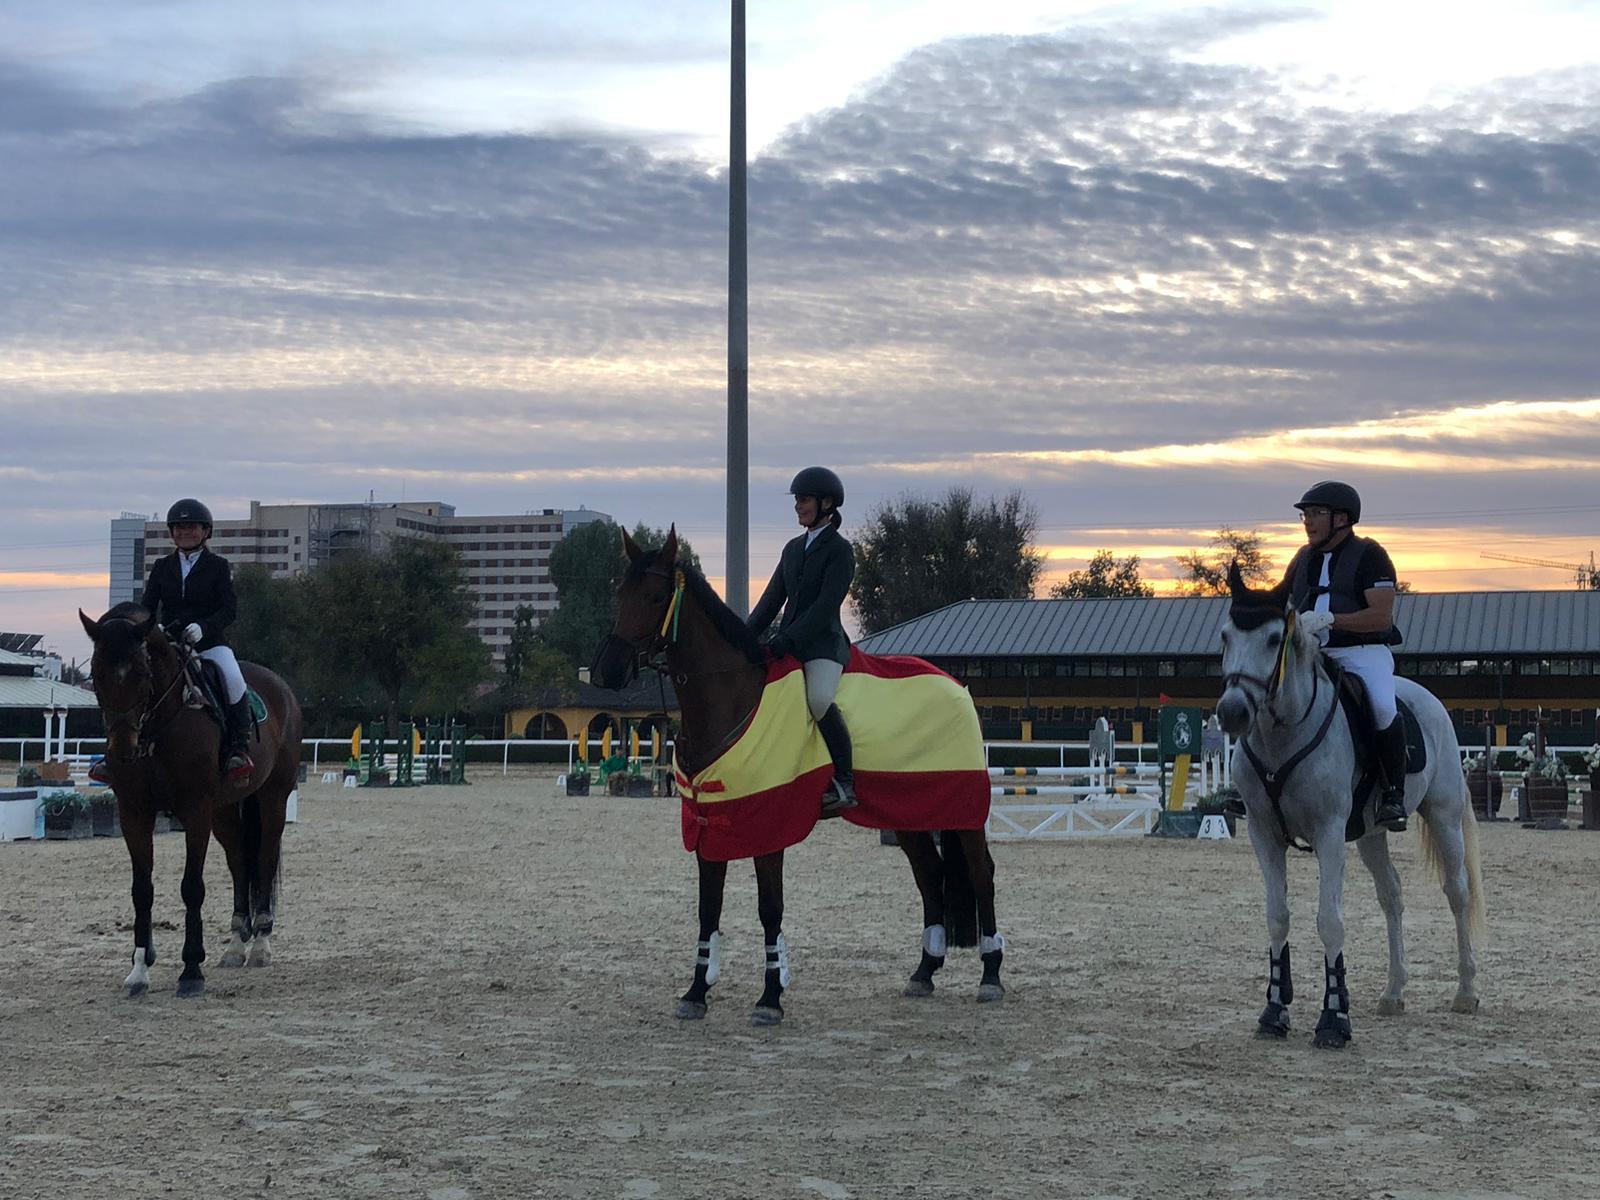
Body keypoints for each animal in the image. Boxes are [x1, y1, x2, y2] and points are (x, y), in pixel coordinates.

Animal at [81, 601, 302, 1004]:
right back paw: (236, 945)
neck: (157, 728)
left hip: (272, 798)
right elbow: (142, 890)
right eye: (96, 673)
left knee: (263, 858)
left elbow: (191, 887)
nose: (122, 752)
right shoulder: (133, 813)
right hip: (225, 811)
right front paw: (139, 971)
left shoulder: (196, 810)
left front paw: (191, 971)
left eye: (142, 673)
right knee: (239, 862)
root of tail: (281, 687)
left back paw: (260, 944)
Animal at [595, 524, 1004, 1024]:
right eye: (620, 592)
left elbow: (770, 909)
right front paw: (696, 992)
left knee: (981, 874)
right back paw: (924, 973)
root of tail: (956, 686)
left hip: (963, 810)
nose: (607, 670)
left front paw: (771, 997)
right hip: (907, 812)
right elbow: (708, 909)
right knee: (929, 875)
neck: (733, 696)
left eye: (655, 597)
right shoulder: (709, 822)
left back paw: (991, 976)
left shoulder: (769, 820)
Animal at [1209, 572, 1484, 1049]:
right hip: (1372, 834)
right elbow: (1277, 917)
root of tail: (1428, 699)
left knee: (1457, 892)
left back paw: (1466, 991)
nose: (1233, 713)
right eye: (1226, 636)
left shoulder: (1329, 834)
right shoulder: (1264, 834)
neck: (1281, 735)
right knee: (1391, 895)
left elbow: (1329, 921)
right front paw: (1274, 1011)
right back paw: (1393, 992)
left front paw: (1334, 1018)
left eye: (1274, 639)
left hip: (1444, 816)